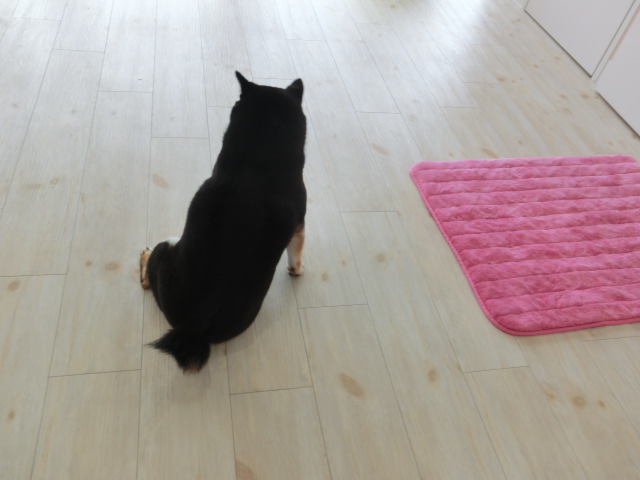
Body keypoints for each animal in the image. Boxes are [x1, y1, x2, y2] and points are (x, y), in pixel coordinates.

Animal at [140, 72, 307, 373]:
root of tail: (193, 331)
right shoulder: (299, 222)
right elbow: (296, 252)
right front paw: (297, 270)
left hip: (167, 248)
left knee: (150, 268)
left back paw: (144, 258)